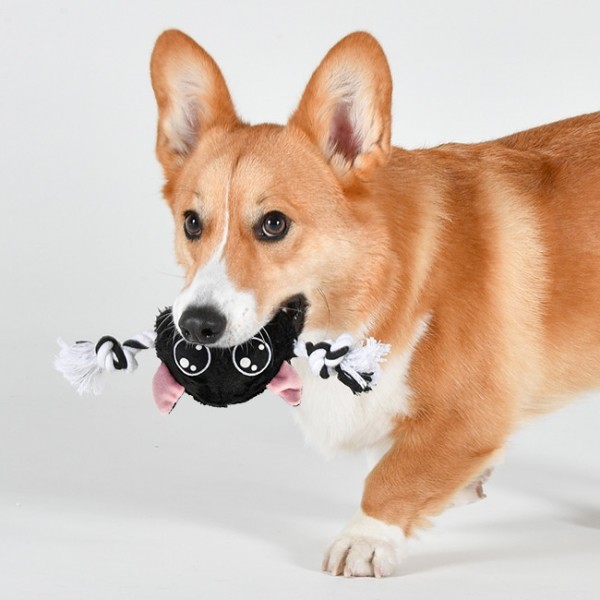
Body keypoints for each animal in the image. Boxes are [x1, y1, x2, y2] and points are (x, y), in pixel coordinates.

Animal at [150, 30, 600, 577]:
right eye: (192, 223)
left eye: (274, 224)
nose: (195, 326)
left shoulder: (475, 414)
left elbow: (392, 476)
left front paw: (364, 539)